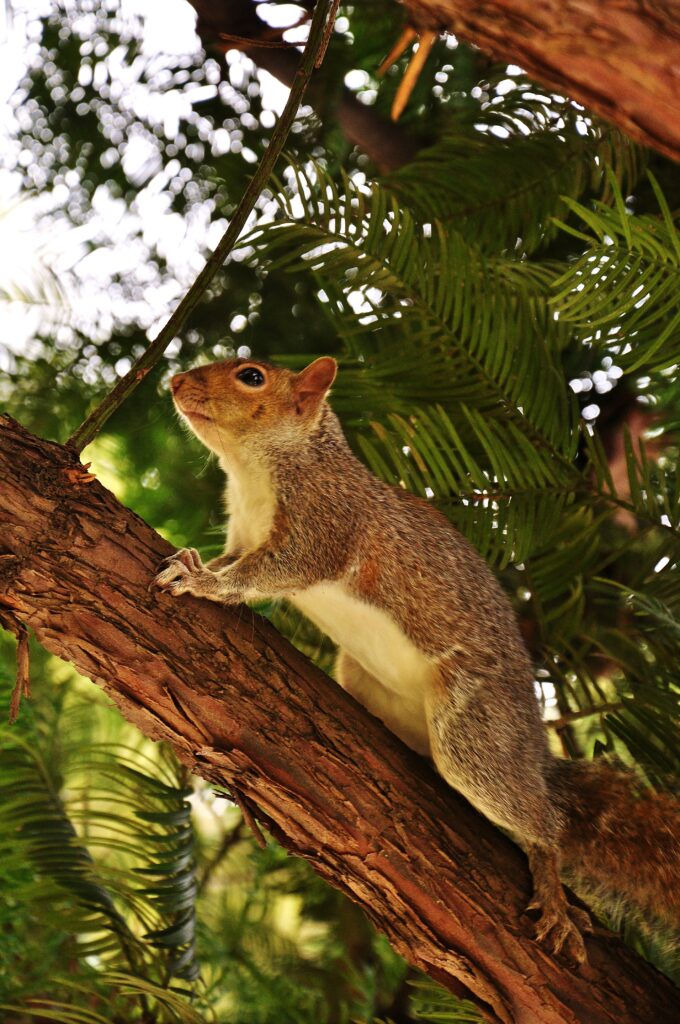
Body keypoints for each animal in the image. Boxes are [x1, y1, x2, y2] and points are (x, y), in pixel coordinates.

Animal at [156, 352, 680, 958]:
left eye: (251, 377)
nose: (175, 382)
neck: (257, 471)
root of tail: (534, 751)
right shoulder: (243, 533)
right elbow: (233, 560)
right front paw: (195, 561)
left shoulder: (325, 521)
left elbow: (270, 572)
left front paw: (205, 584)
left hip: (479, 727)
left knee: (538, 817)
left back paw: (549, 879)